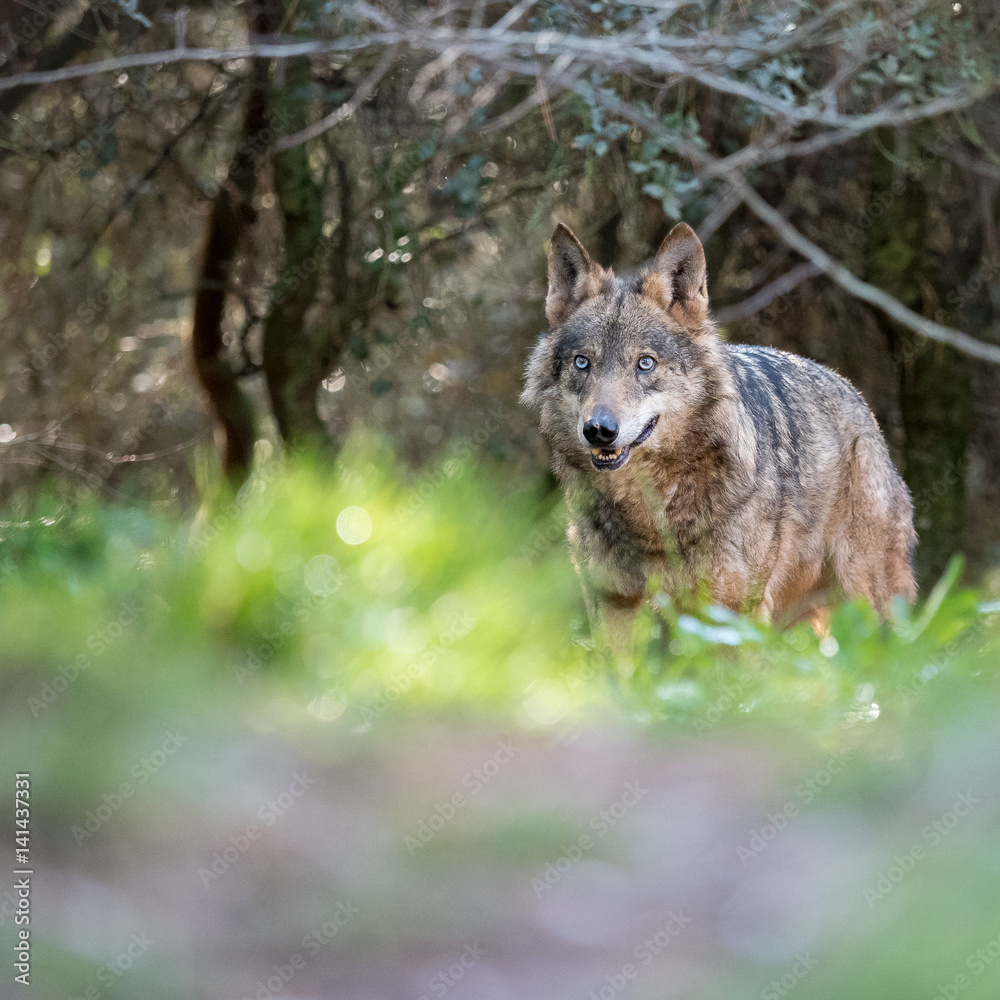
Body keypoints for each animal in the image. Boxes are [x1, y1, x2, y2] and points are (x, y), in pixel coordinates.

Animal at [521, 221, 917, 655]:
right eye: (582, 363)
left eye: (645, 364)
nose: (599, 430)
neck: (650, 513)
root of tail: (856, 397)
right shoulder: (612, 605)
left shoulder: (732, 614)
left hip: (867, 606)